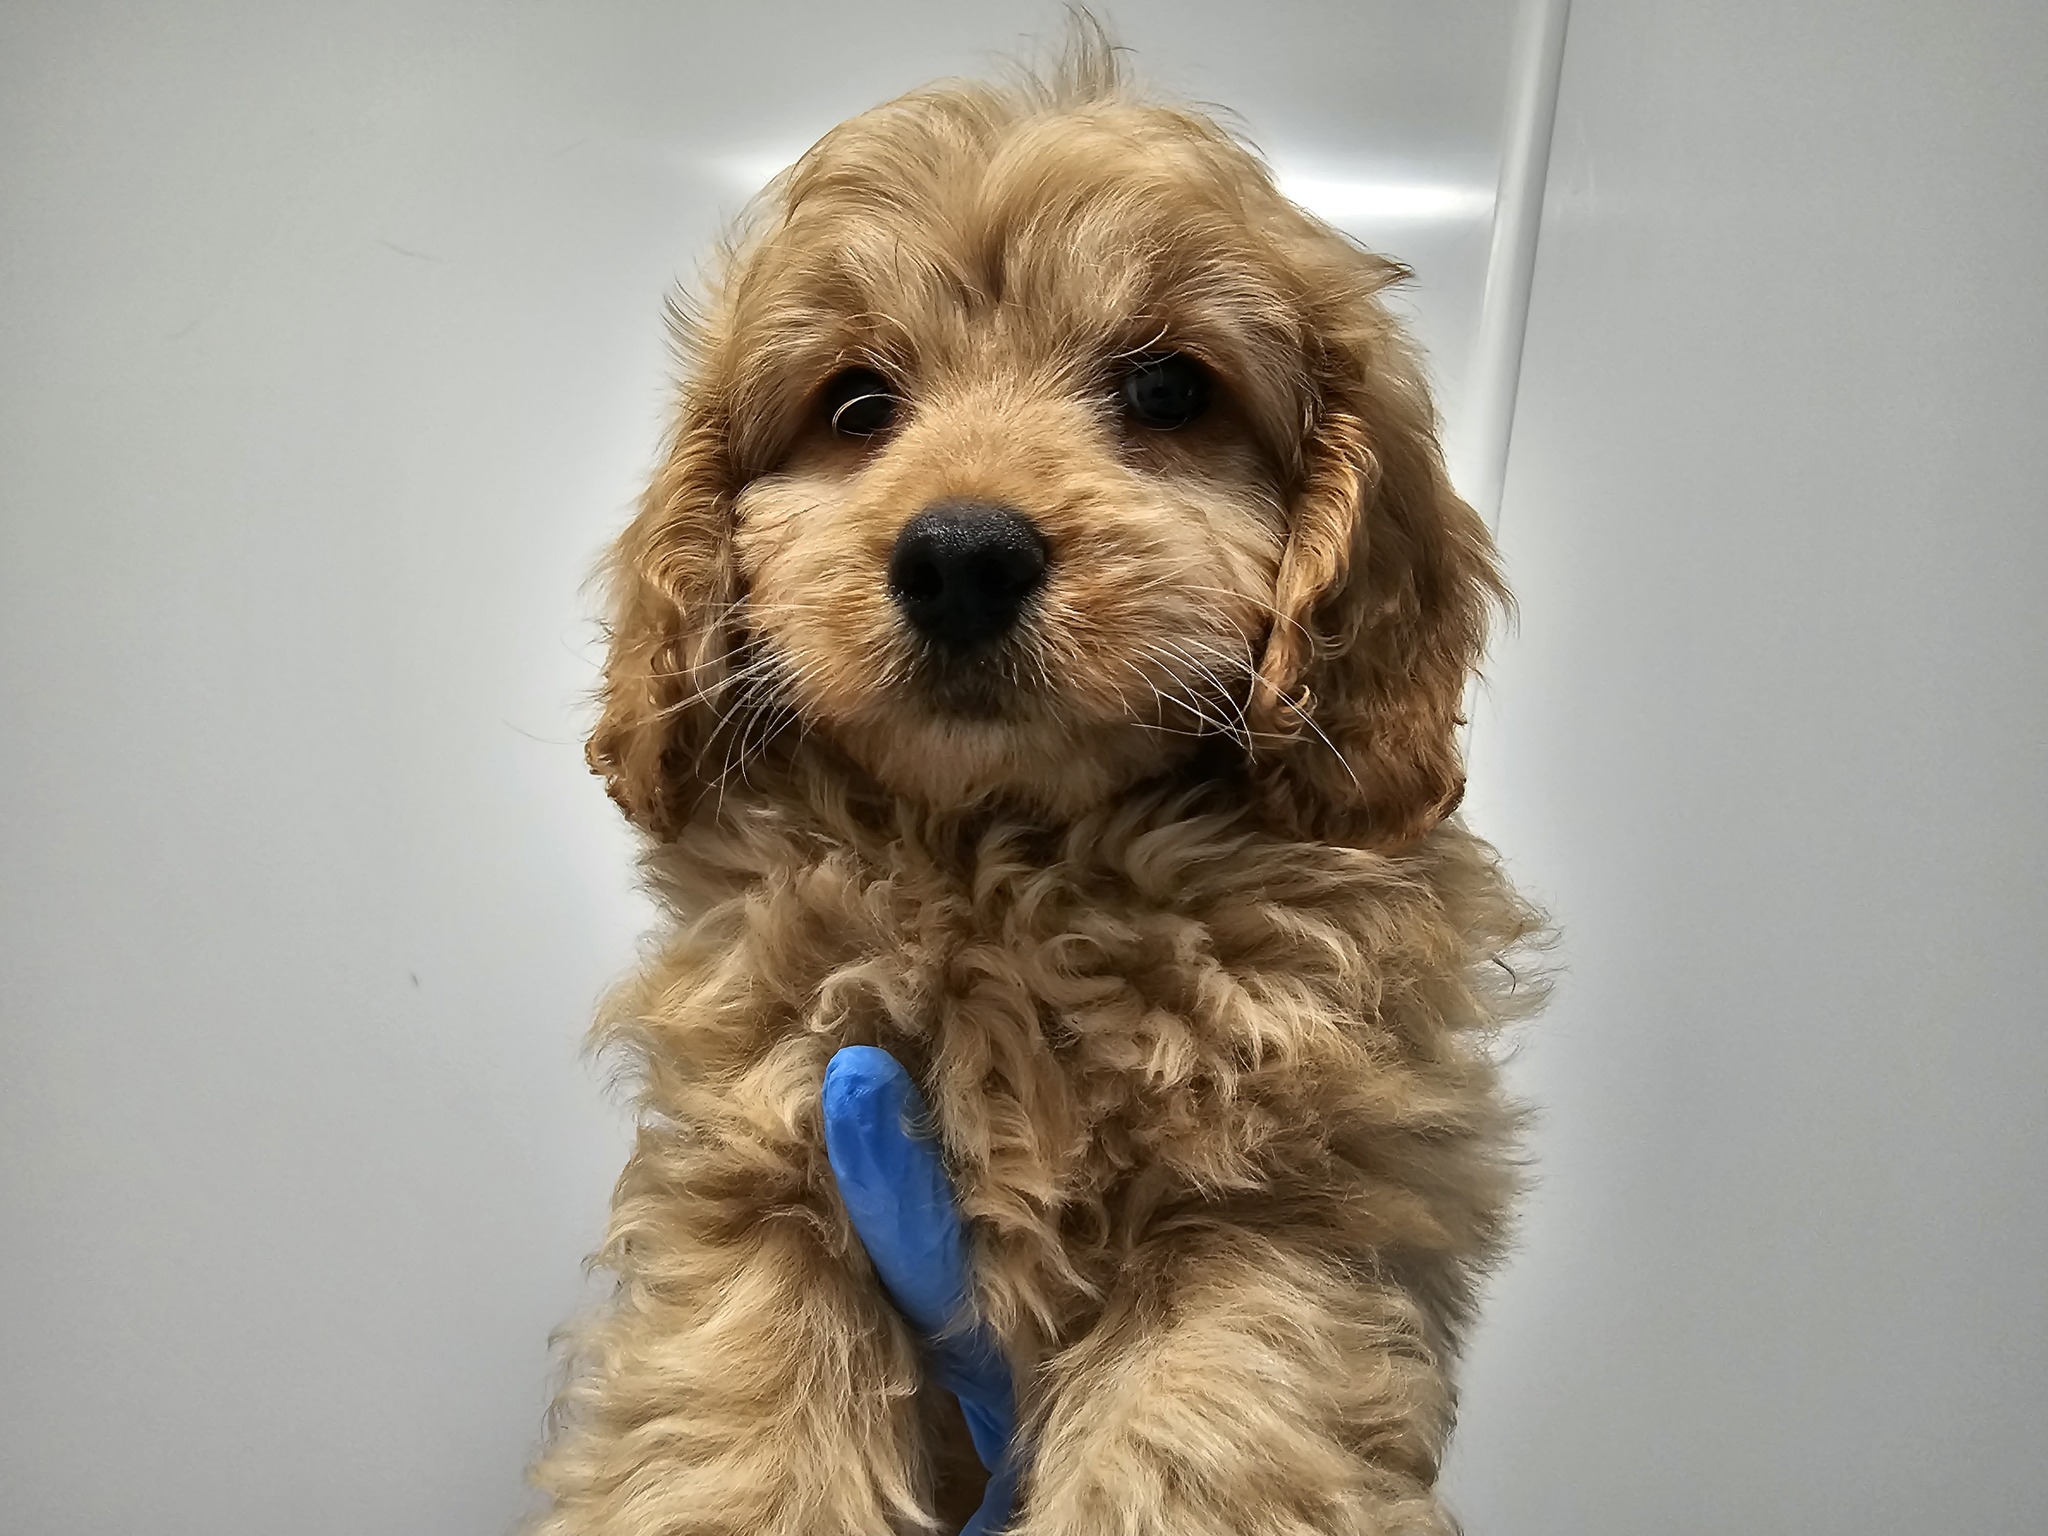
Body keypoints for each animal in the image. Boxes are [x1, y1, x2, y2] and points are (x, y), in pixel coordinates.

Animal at [536, 30, 1540, 1536]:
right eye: (856, 406)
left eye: (1169, 390)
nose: (960, 557)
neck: (1010, 866)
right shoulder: (759, 1167)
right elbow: (736, 1435)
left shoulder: (1279, 1216)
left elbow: (1197, 1453)